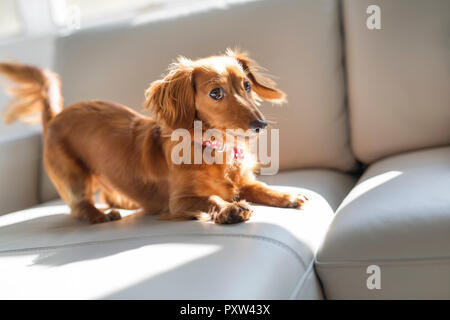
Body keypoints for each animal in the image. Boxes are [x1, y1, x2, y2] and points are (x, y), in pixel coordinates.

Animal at [0, 50, 306, 225]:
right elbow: (210, 198)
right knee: (80, 207)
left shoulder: (244, 183)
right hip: (74, 176)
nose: (260, 125)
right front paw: (229, 210)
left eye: (246, 86)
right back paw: (101, 215)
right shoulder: (179, 200)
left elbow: (260, 188)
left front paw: (287, 195)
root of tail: (56, 116)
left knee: (109, 194)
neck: (213, 149)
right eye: (216, 93)